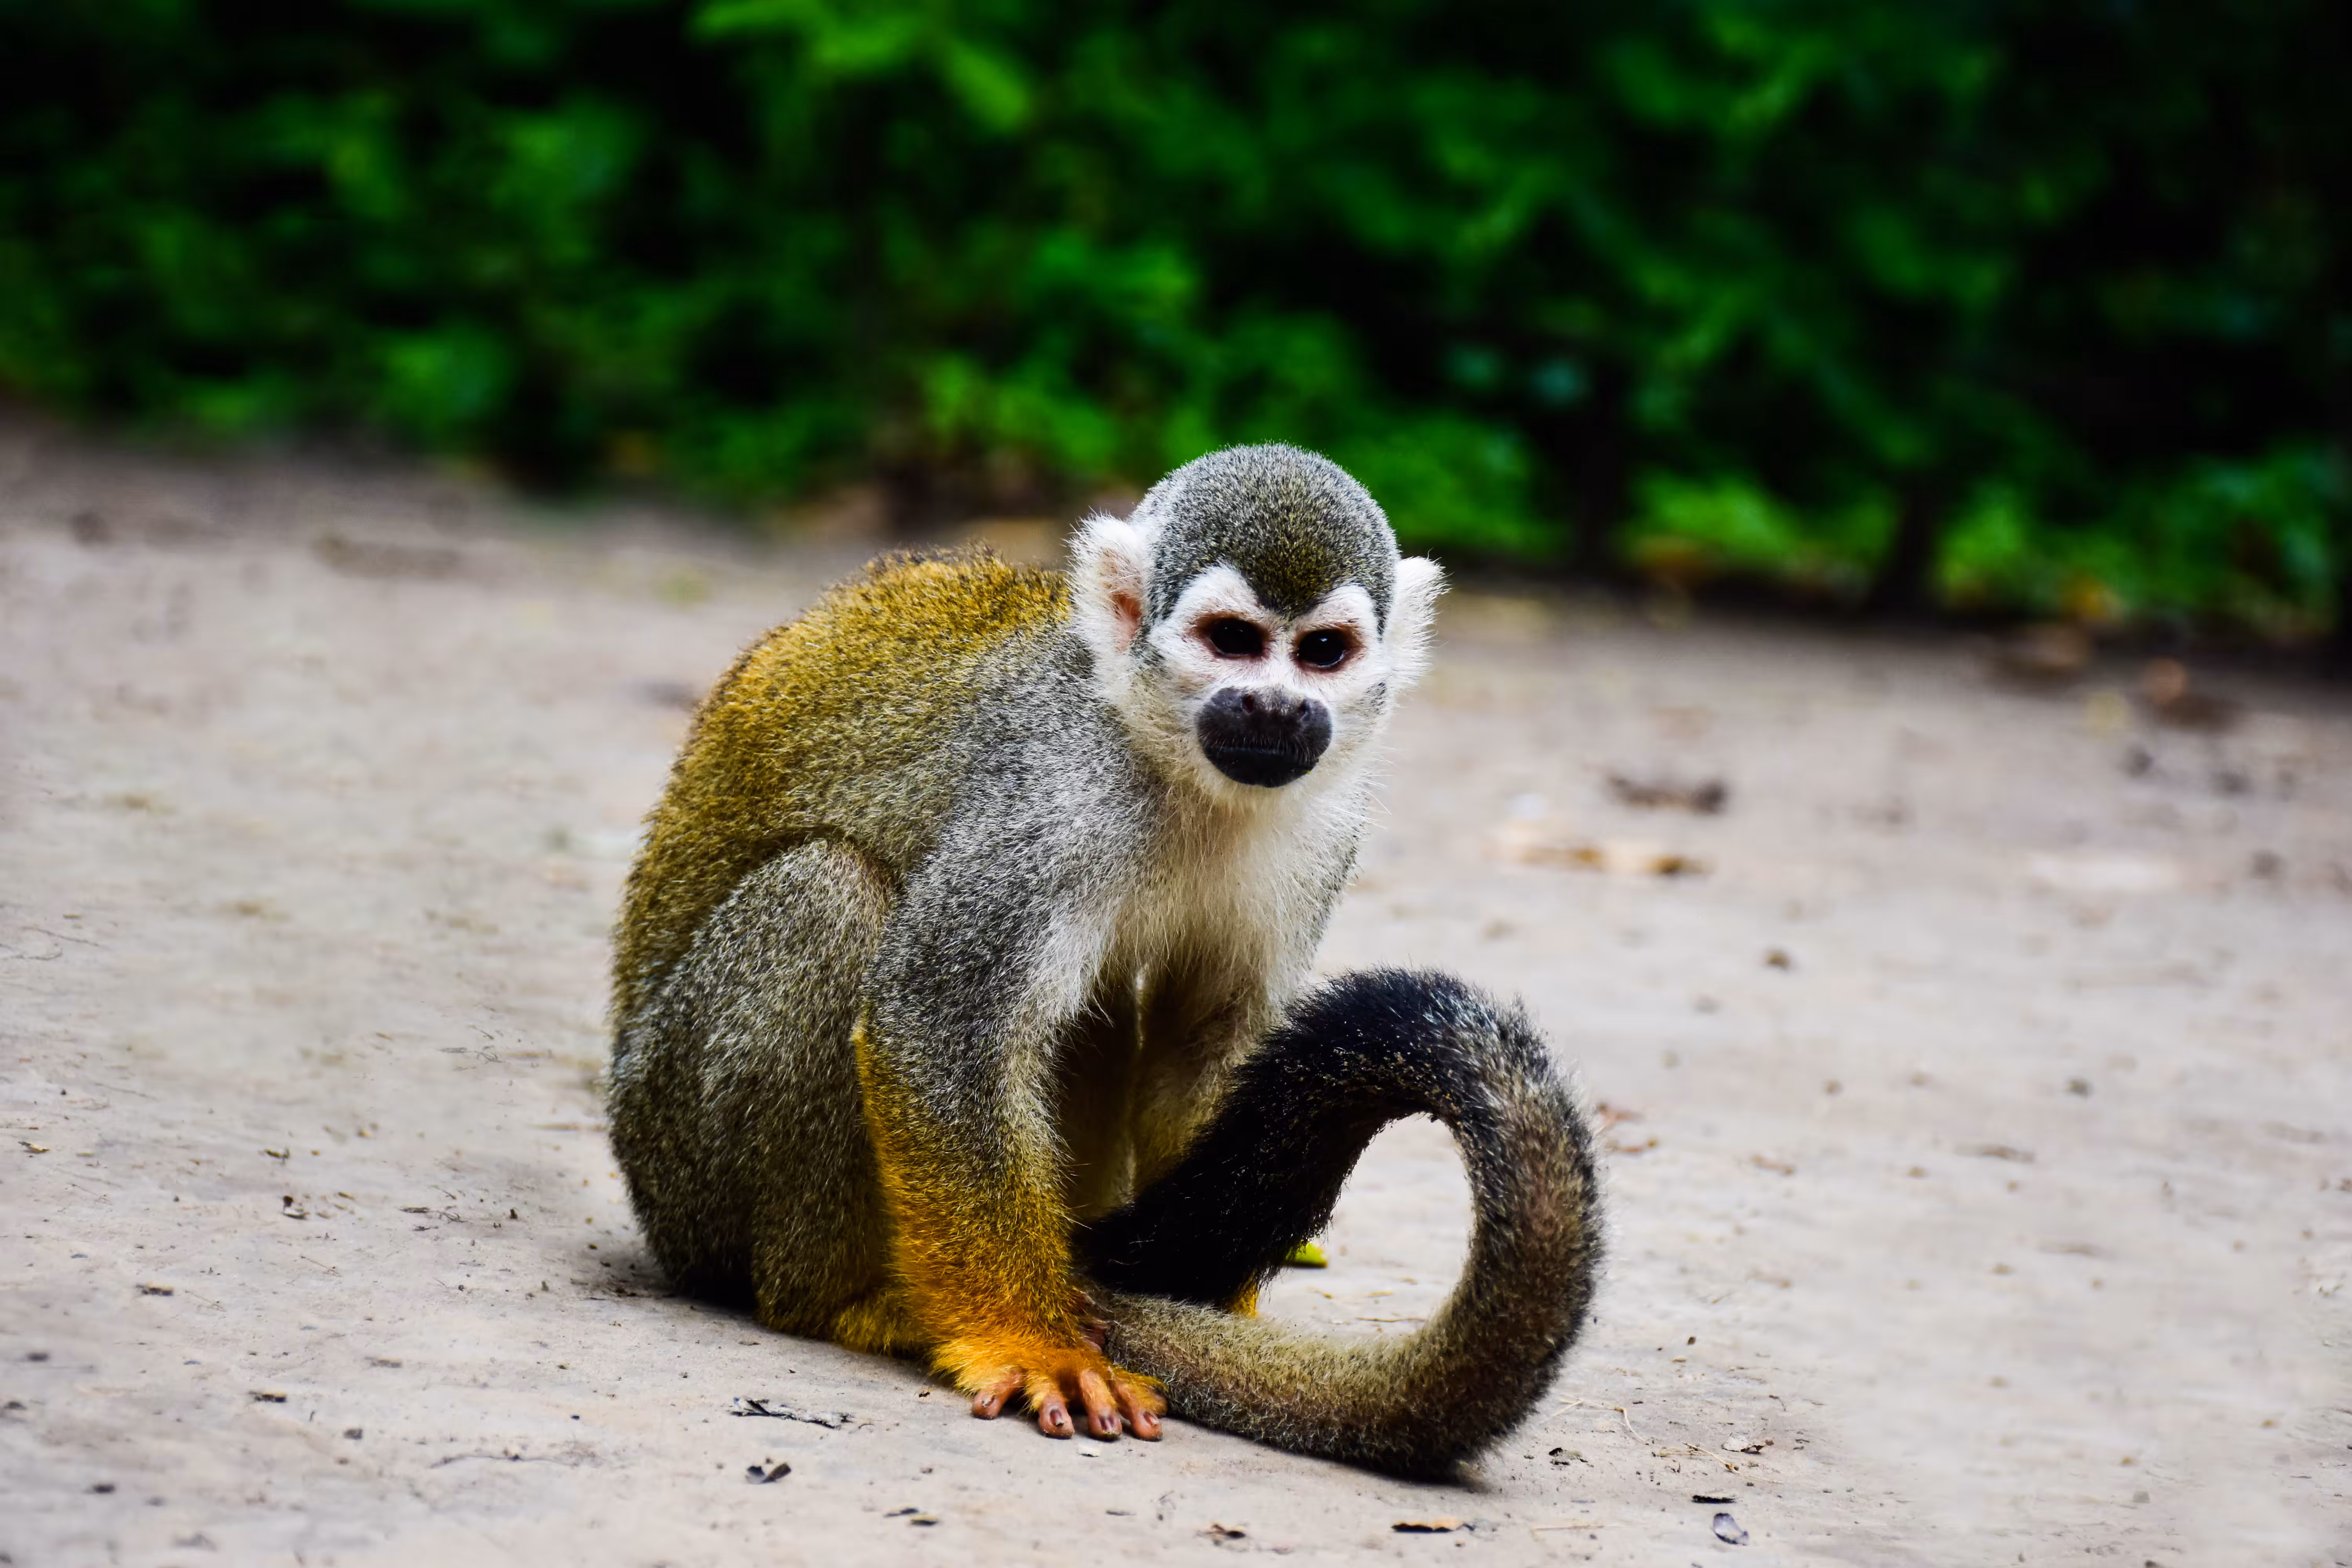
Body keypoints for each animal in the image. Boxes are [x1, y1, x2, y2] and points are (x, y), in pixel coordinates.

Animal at [606, 443, 1601, 1474]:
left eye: (1323, 651)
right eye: (1232, 639)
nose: (1278, 709)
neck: (1176, 766)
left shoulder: (1327, 829)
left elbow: (1210, 1050)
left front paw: (1218, 1310)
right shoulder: (1051, 794)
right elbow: (939, 1023)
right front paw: (1035, 1341)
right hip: (680, 1158)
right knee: (828, 891)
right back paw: (839, 1300)